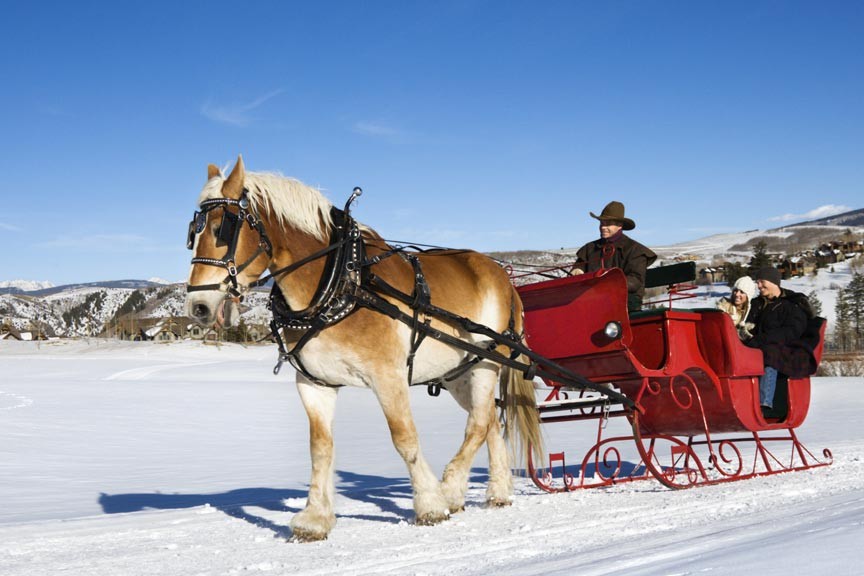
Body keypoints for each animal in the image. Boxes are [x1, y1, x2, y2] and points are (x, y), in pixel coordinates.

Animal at [186, 156, 544, 540]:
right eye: (193, 232)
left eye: (223, 228)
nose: (198, 306)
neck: (340, 281)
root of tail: (503, 276)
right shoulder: (314, 383)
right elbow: (320, 448)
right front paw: (315, 518)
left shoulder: (388, 376)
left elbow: (404, 438)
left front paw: (430, 504)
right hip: (457, 373)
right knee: (489, 420)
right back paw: (498, 491)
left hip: (485, 363)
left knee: (477, 424)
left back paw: (450, 489)